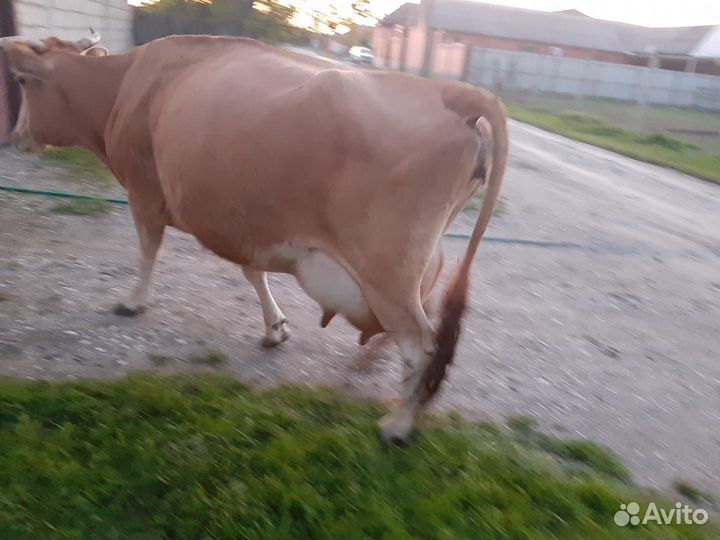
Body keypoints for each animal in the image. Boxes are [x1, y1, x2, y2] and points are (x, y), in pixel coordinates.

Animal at [0, 33, 508, 442]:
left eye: (22, 82)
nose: (16, 136)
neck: (125, 85)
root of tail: (454, 92)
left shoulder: (144, 189)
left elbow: (148, 248)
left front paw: (133, 302)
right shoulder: (245, 220)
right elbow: (253, 272)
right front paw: (275, 328)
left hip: (388, 270)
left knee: (421, 342)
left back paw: (399, 425)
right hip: (419, 259)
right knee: (424, 316)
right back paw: (387, 381)